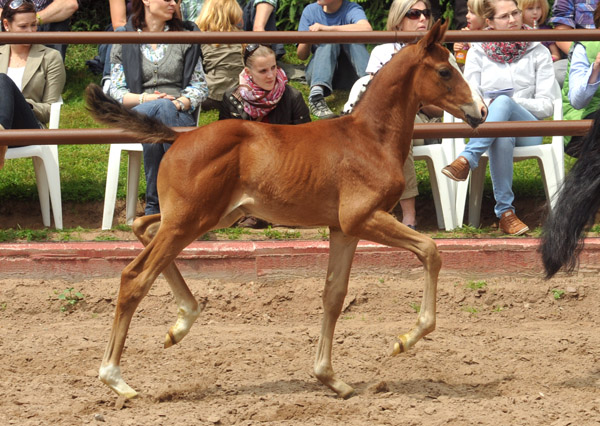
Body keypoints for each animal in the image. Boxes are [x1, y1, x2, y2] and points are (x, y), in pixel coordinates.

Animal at [86, 20, 486, 400]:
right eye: (445, 71)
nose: (480, 111)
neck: (370, 139)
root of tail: (179, 137)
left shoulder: (344, 229)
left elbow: (333, 295)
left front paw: (330, 378)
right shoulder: (364, 218)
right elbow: (430, 250)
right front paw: (404, 340)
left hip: (204, 216)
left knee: (142, 225)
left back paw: (181, 324)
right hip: (190, 220)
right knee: (134, 276)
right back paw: (116, 378)